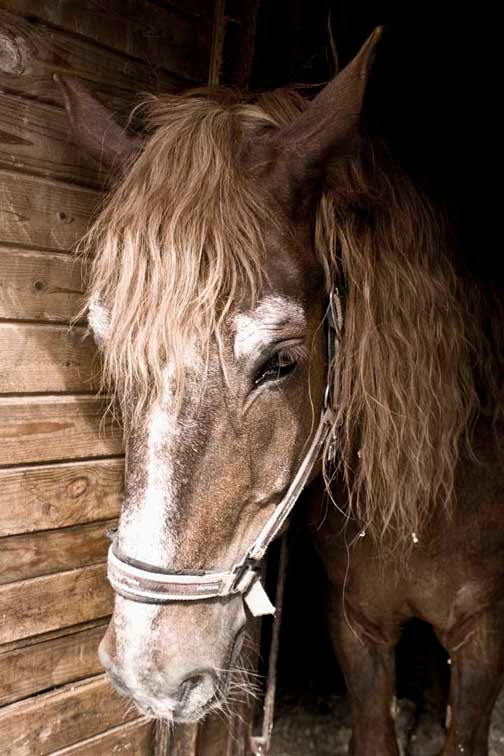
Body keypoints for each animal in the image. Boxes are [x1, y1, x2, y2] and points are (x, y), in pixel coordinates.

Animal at [58, 26, 504, 755]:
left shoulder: (484, 637)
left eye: (280, 360)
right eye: (107, 345)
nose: (148, 670)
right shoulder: (355, 628)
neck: (423, 501)